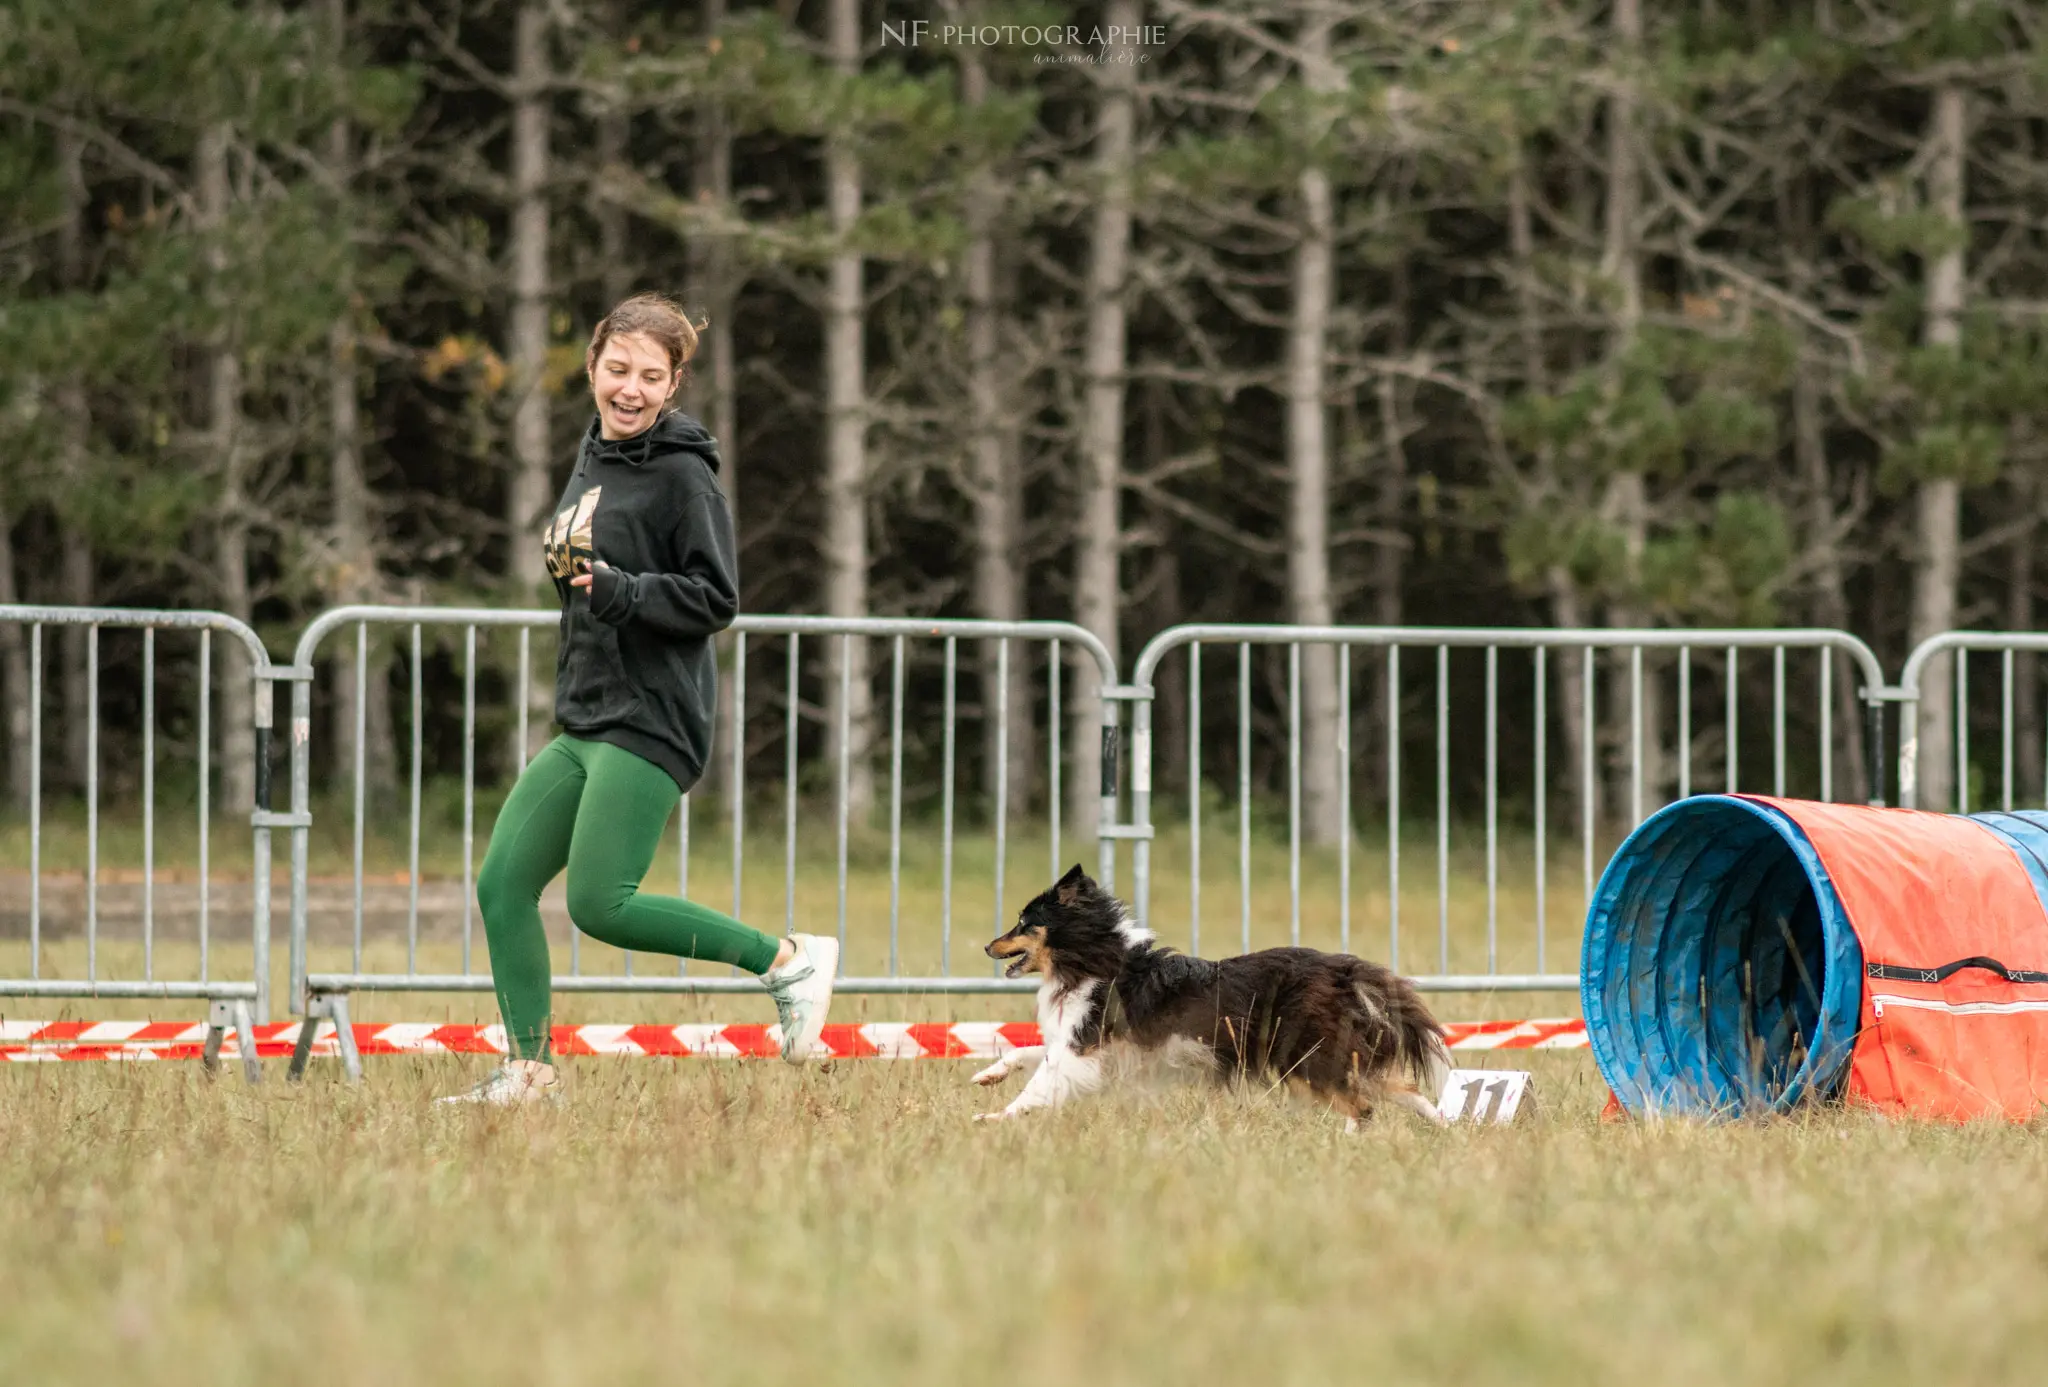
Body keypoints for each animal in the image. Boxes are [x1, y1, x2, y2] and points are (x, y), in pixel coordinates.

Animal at [978, 864, 1449, 1122]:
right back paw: (1443, 1127)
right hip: (1334, 1056)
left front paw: (993, 1117)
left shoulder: (1080, 1050)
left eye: (1024, 923)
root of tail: (1346, 970)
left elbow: (1036, 1086)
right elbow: (1024, 1053)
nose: (986, 946)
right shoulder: (1094, 1053)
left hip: (1304, 1058)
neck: (1093, 959)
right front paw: (987, 1076)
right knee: (1405, 1090)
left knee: (1362, 1107)